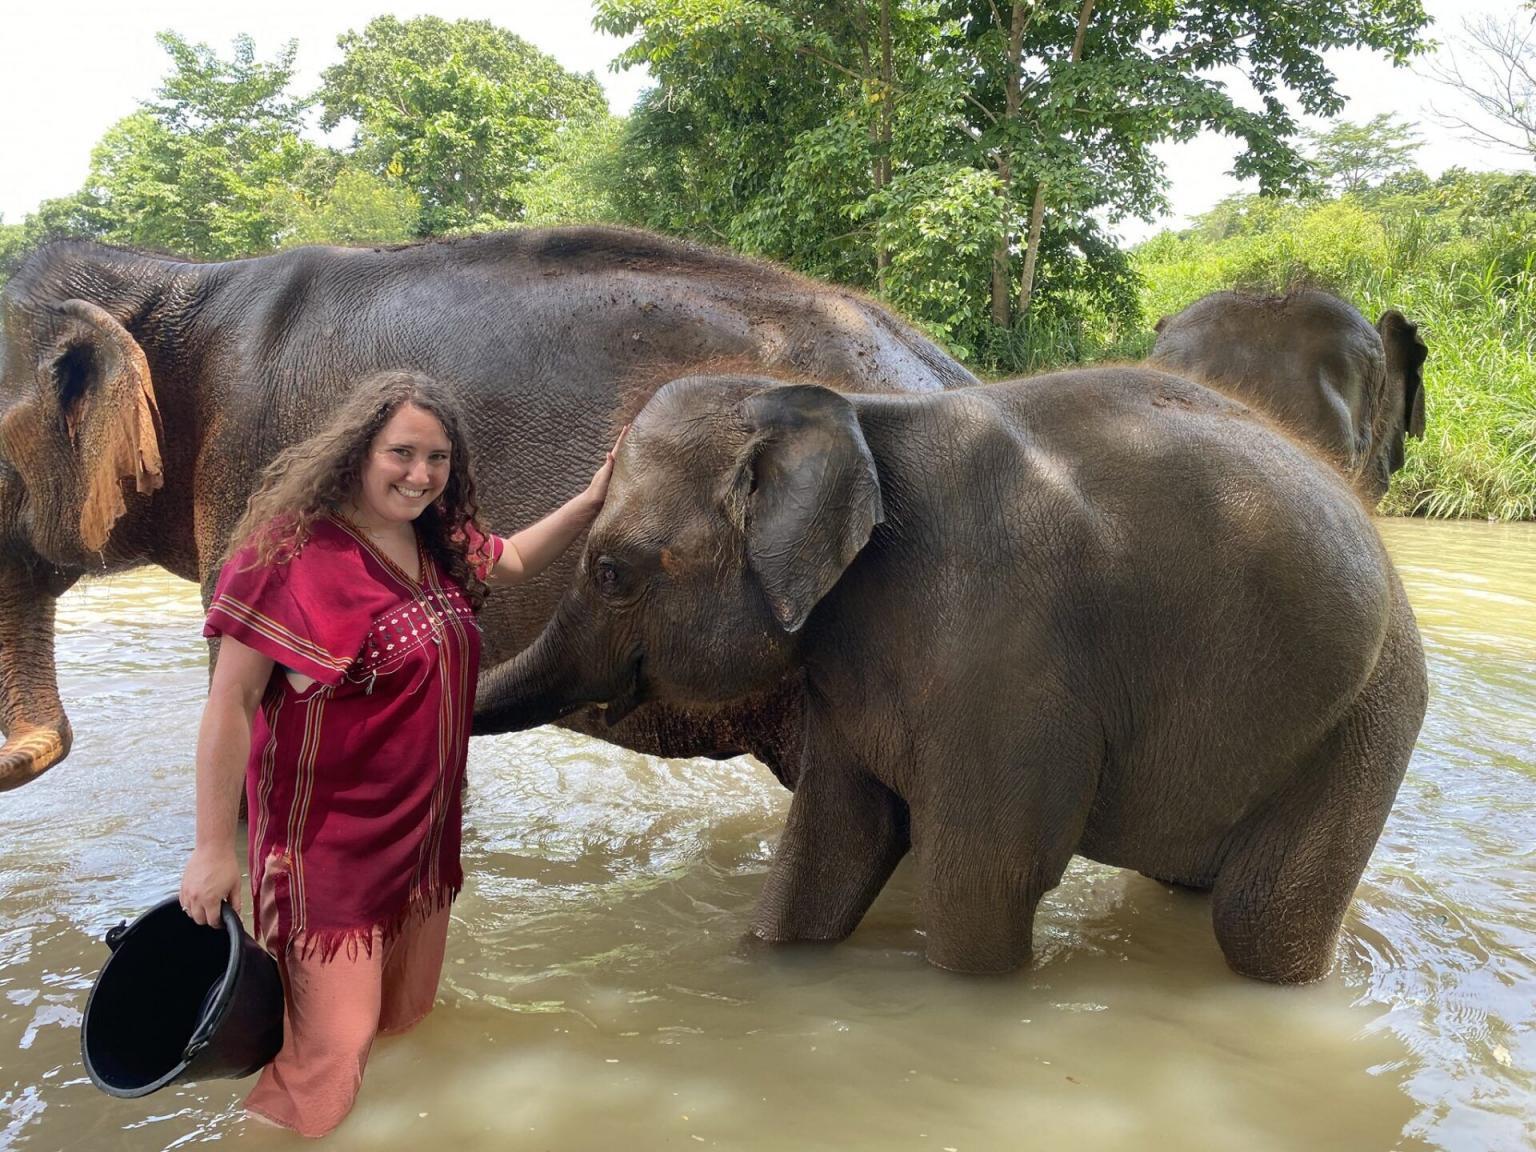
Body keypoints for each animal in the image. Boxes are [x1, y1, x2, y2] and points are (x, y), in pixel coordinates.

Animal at [476, 370, 1425, 983]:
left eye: (611, 572)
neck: (852, 417)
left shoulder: (1007, 657)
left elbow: (983, 874)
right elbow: (832, 843)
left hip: (1370, 717)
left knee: (1258, 921)